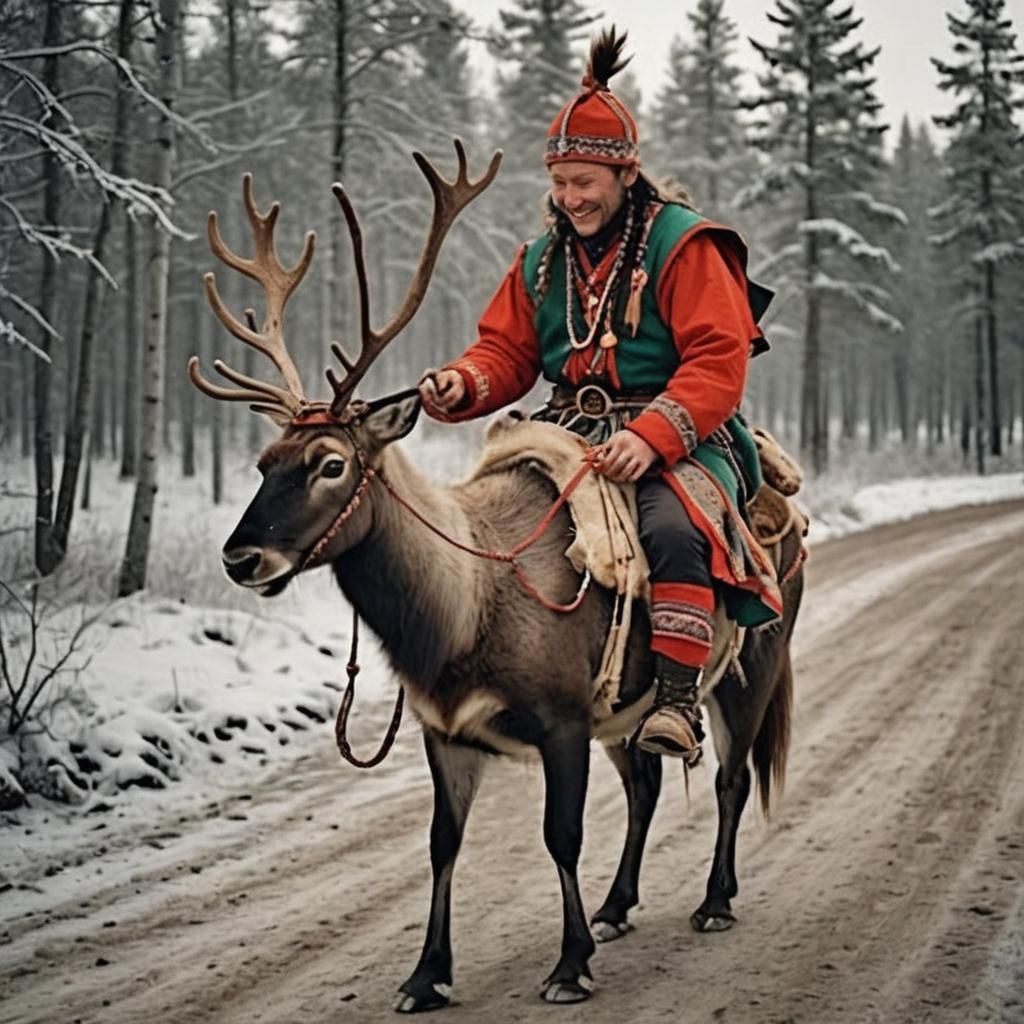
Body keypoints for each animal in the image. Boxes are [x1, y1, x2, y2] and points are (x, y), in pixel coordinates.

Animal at [188, 142, 805, 1013]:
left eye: (331, 464)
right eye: (264, 461)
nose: (242, 558)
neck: (457, 620)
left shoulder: (564, 717)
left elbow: (561, 836)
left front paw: (569, 964)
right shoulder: (445, 729)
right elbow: (442, 844)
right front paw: (427, 974)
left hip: (756, 661)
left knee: (729, 777)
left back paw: (714, 899)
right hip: (630, 705)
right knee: (648, 785)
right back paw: (619, 905)